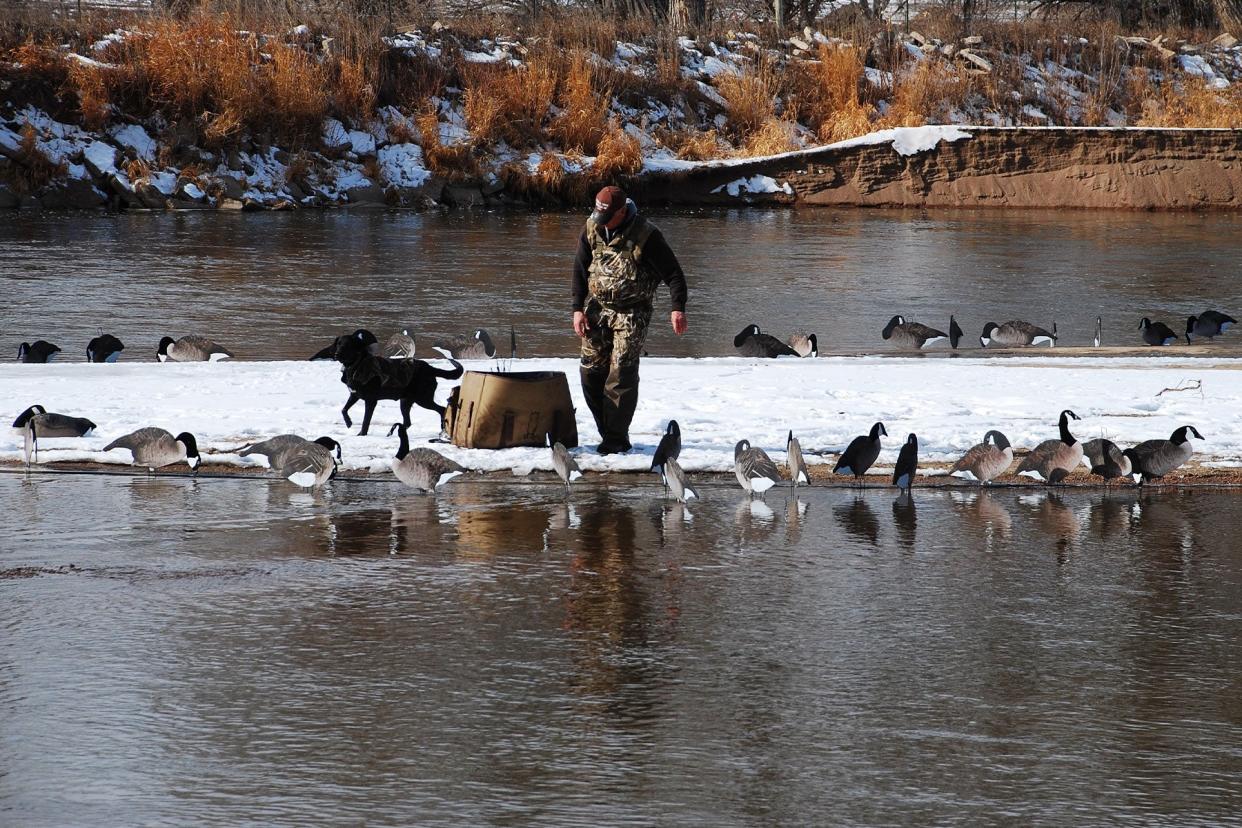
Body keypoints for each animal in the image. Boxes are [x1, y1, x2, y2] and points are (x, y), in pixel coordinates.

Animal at [332, 330, 464, 436]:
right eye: (338, 344)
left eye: (347, 345)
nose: (336, 354)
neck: (357, 364)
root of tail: (429, 368)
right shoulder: (354, 394)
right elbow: (343, 409)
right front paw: (348, 423)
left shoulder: (371, 401)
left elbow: (366, 421)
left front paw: (361, 434)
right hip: (405, 401)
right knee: (408, 422)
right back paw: (391, 432)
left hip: (423, 398)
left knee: (441, 409)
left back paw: (442, 429)